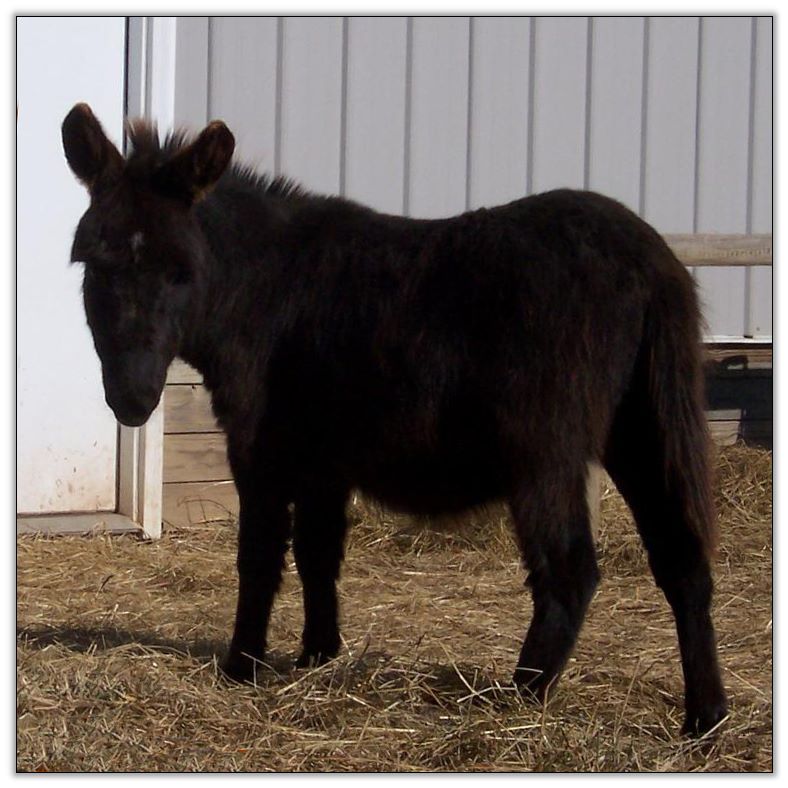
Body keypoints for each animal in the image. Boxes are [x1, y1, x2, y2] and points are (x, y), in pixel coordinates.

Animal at [61, 102, 727, 736]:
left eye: (181, 272)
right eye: (93, 266)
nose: (132, 400)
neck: (261, 291)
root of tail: (649, 259)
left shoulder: (261, 451)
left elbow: (259, 556)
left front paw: (241, 667)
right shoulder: (322, 461)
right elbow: (318, 553)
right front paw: (317, 658)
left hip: (545, 451)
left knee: (570, 573)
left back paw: (517, 698)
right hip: (641, 428)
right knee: (683, 562)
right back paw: (705, 719)